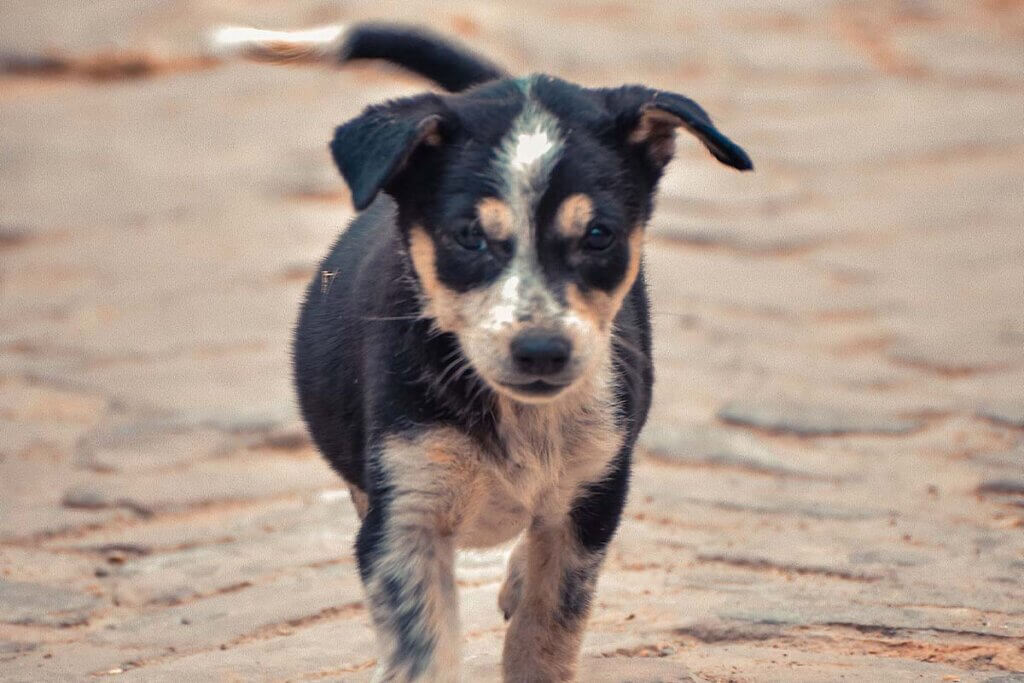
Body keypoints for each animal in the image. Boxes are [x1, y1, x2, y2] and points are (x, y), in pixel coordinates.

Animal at [214, 22, 753, 683]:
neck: (516, 414)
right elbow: (423, 650)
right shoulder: (405, 519)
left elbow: (546, 635)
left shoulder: (592, 502)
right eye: (470, 237)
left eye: (598, 235)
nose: (542, 351)